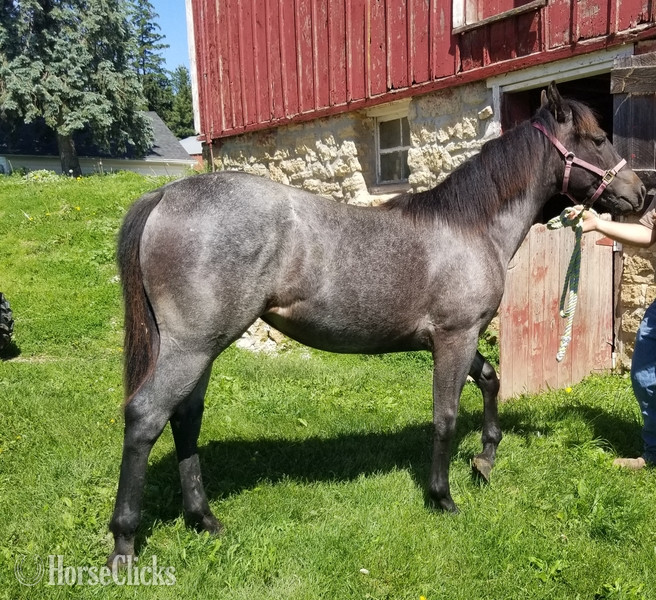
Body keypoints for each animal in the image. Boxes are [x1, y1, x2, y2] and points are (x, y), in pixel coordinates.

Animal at [108, 82, 645, 565]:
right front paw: (442, 496)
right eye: (598, 138)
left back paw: (204, 519)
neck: (470, 227)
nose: (641, 192)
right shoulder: (454, 338)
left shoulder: (457, 339)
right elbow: (446, 417)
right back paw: (124, 544)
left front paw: (485, 460)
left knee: (185, 418)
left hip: (203, 348)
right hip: (192, 346)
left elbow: (491, 380)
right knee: (147, 417)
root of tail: (165, 195)